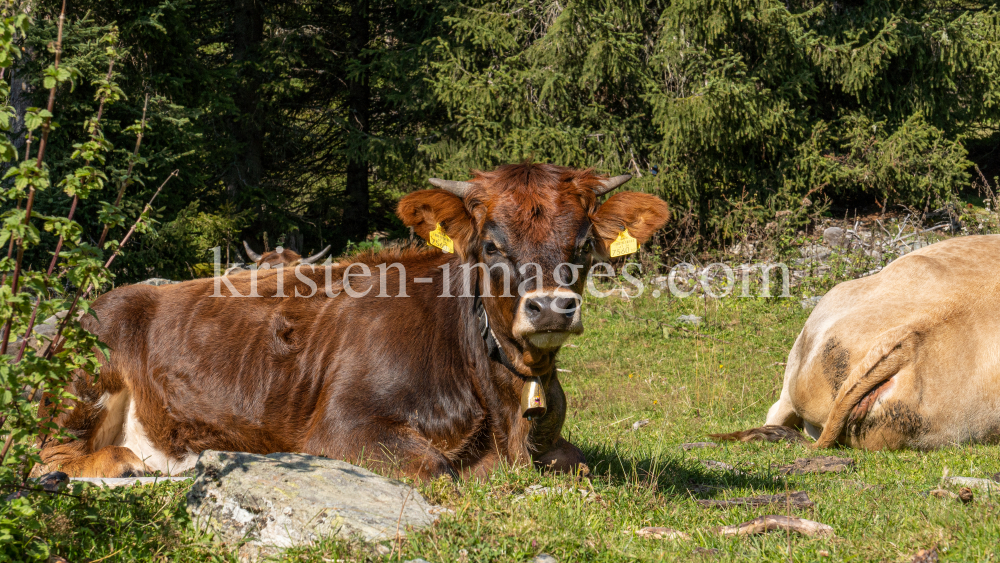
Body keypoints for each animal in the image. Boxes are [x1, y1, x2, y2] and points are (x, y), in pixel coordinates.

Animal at [37, 163, 672, 480]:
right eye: (491, 244)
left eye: (583, 244)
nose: (551, 307)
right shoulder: (341, 430)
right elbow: (441, 469)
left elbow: (581, 466)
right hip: (81, 375)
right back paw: (122, 463)